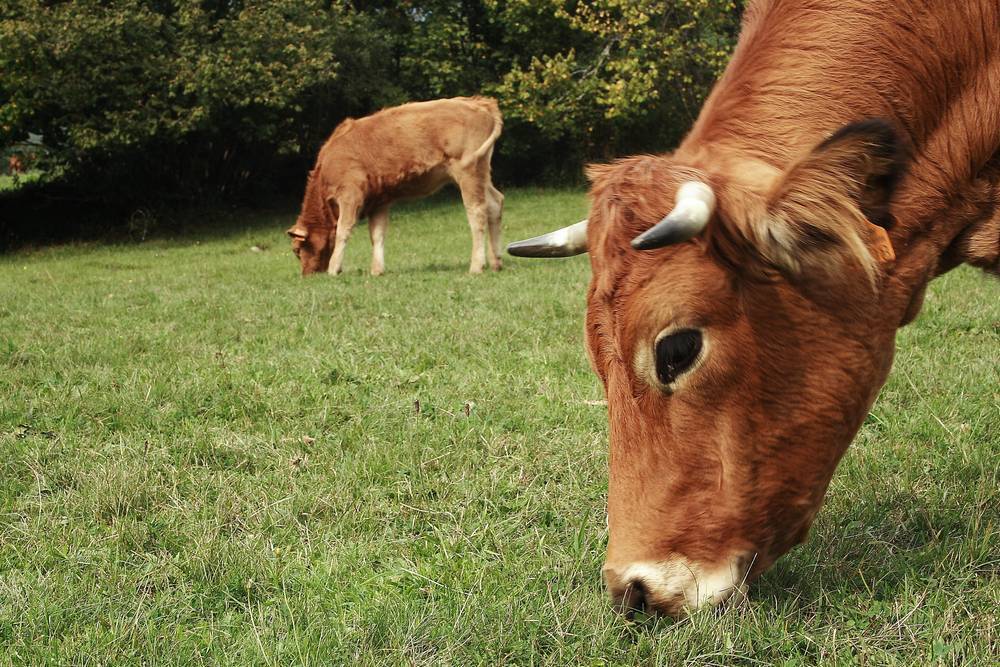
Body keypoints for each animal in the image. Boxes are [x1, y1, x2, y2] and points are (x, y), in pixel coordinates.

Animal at [290, 95, 508, 276]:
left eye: (297, 249)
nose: (307, 274)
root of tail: (479, 103)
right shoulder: (379, 201)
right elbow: (377, 234)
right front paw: (377, 270)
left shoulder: (349, 194)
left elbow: (344, 229)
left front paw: (334, 269)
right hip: (481, 174)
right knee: (495, 203)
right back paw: (496, 262)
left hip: (468, 173)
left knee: (477, 212)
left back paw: (476, 266)